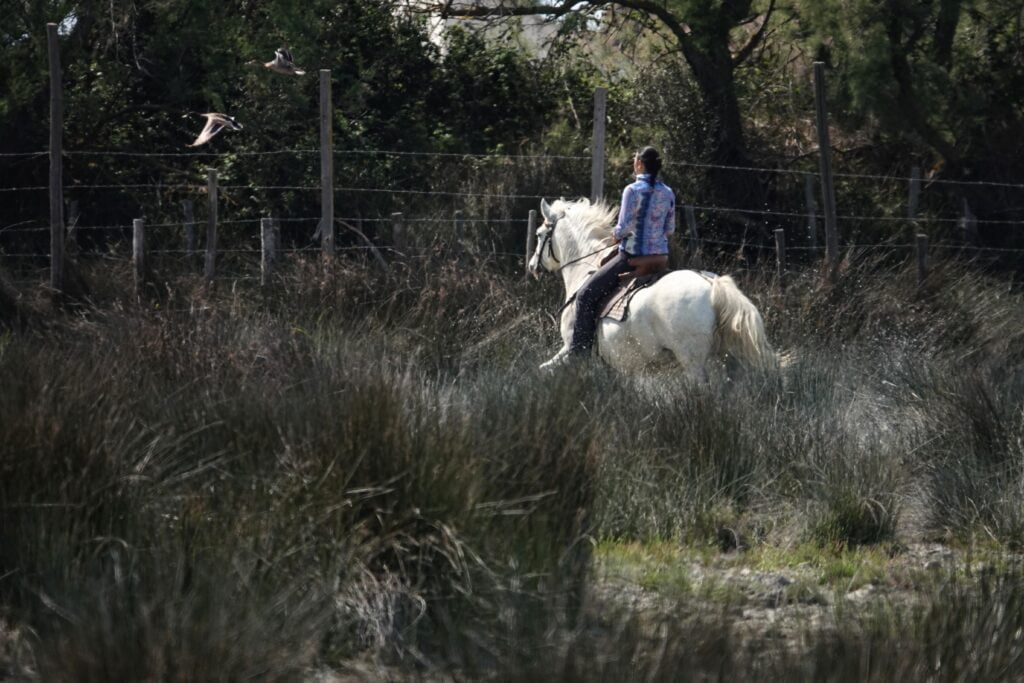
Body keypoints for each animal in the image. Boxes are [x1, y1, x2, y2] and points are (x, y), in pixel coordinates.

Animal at [528, 197, 774, 378]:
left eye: (539, 235)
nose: (531, 266)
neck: (585, 266)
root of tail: (713, 286)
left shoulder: (569, 346)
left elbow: (543, 368)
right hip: (726, 361)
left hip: (693, 361)